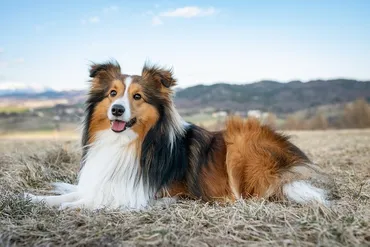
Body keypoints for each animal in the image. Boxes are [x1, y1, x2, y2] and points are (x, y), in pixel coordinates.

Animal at [25, 60, 326, 209]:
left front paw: (62, 205)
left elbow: (88, 200)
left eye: (137, 96)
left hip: (241, 140)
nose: (117, 110)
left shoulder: (141, 192)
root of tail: (291, 163)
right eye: (112, 93)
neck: (130, 143)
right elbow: (75, 192)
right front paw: (34, 197)